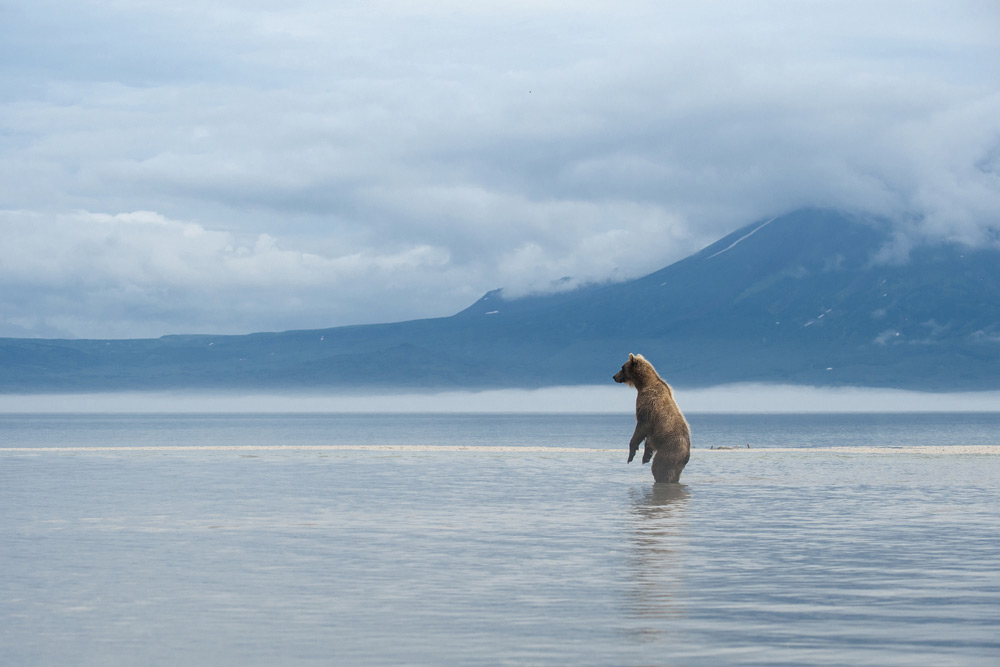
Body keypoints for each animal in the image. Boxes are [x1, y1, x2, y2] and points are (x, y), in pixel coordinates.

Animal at [612, 354, 692, 486]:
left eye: (622, 367)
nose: (614, 376)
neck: (643, 384)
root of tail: (687, 455)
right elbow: (649, 438)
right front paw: (646, 455)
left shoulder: (647, 407)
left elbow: (641, 427)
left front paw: (631, 454)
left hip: (669, 452)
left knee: (660, 468)